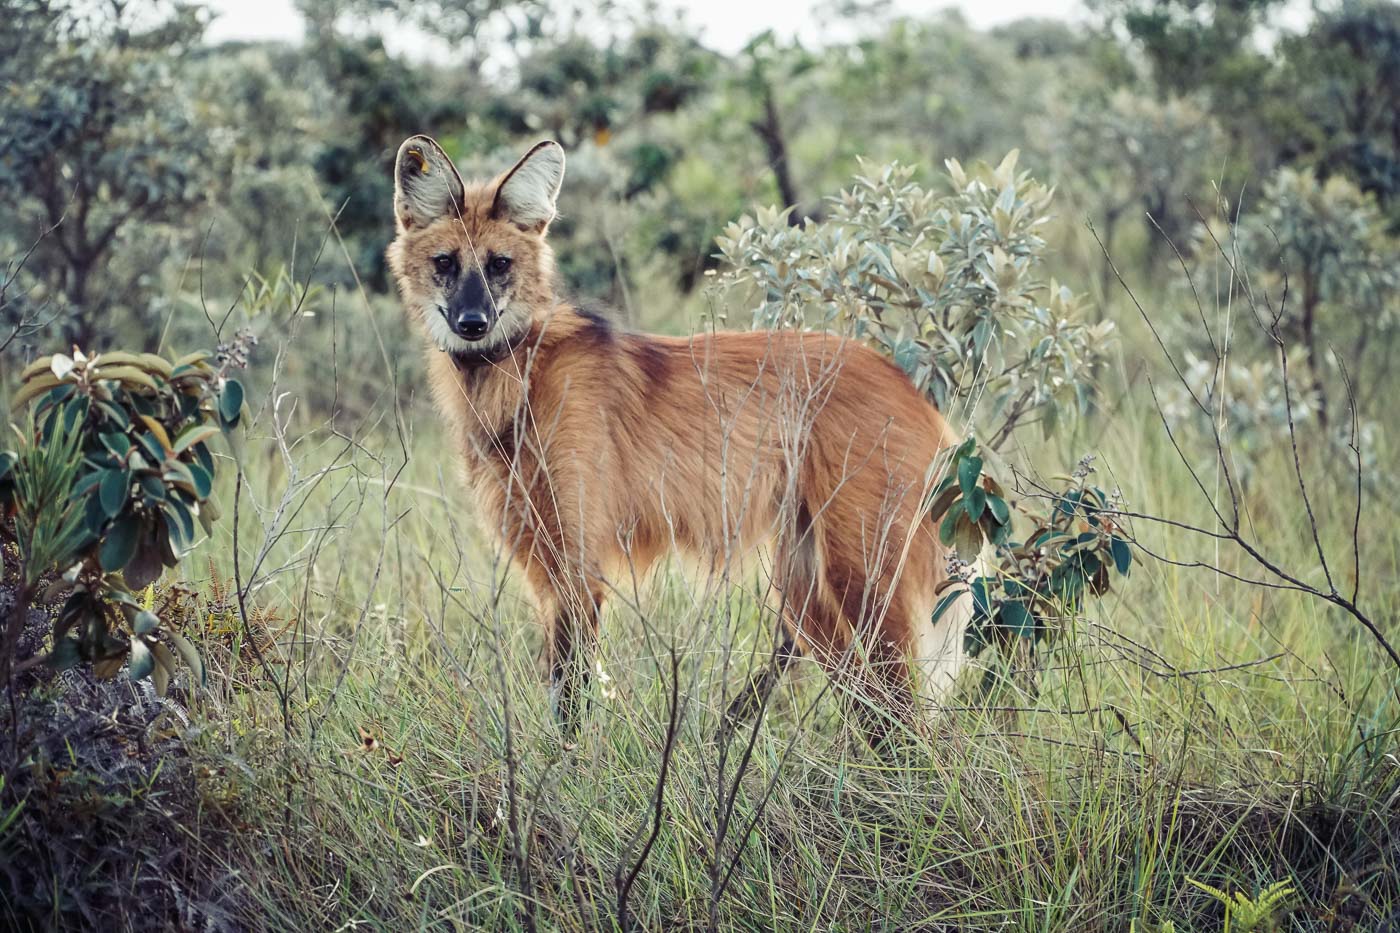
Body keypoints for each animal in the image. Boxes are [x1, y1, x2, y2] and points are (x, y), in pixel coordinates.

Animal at [386, 134, 974, 745]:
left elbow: (571, 706)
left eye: (498, 265)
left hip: (861, 576)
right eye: (446, 264)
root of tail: (911, 387)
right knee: (874, 707)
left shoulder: (577, 566)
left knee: (906, 713)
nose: (472, 324)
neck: (517, 382)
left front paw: (565, 768)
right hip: (804, 593)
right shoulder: (547, 570)